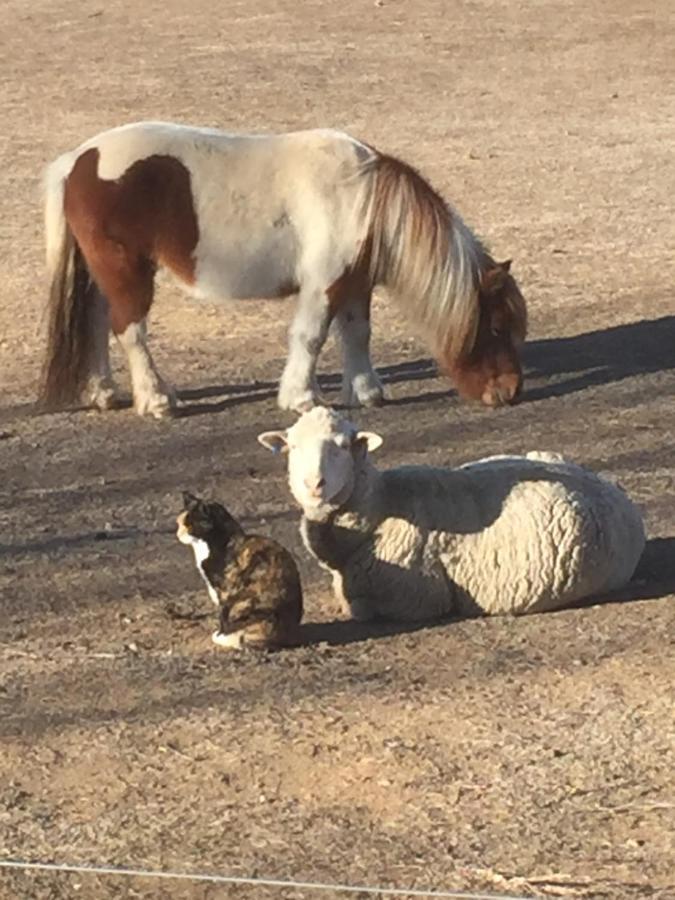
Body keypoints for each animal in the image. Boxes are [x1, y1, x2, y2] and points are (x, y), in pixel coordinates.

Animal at [38, 122, 528, 418]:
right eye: (496, 327)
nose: (510, 392)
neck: (361, 200)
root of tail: (79, 159)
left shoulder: (354, 285)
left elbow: (357, 334)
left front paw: (366, 391)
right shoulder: (324, 284)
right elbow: (310, 337)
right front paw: (301, 398)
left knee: (97, 322)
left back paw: (103, 392)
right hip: (128, 271)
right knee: (130, 330)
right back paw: (157, 399)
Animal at [176, 488, 302, 652]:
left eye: (189, 526)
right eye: (179, 523)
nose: (178, 534)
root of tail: (287, 640)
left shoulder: (225, 591)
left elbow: (223, 615)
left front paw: (221, 634)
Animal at [258, 406, 644, 624]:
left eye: (342, 446)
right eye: (292, 446)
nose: (314, 484)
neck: (383, 504)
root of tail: (612, 488)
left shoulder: (413, 599)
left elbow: (361, 609)